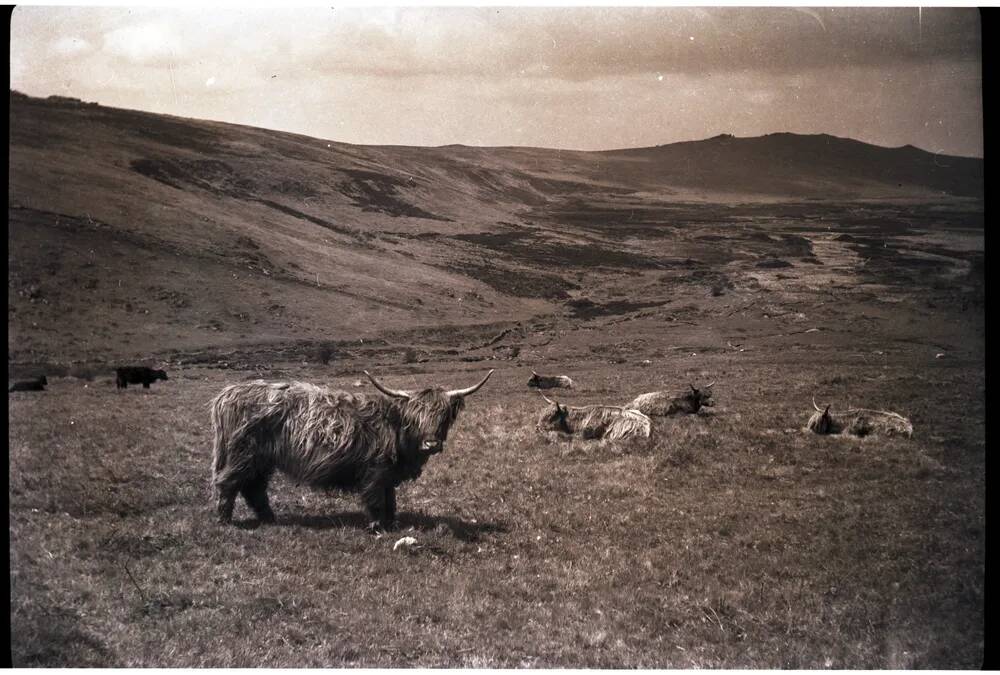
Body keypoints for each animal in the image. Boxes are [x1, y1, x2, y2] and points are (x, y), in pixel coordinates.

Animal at [209, 368, 494, 532]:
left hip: (263, 459)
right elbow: (376, 499)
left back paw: (270, 519)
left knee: (254, 488)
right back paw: (224, 521)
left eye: (443, 416)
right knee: (229, 482)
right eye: (416, 417)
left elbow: (391, 499)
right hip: (243, 454)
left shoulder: (389, 475)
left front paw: (392, 524)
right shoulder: (375, 472)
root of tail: (227, 394)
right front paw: (377, 527)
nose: (431, 443)